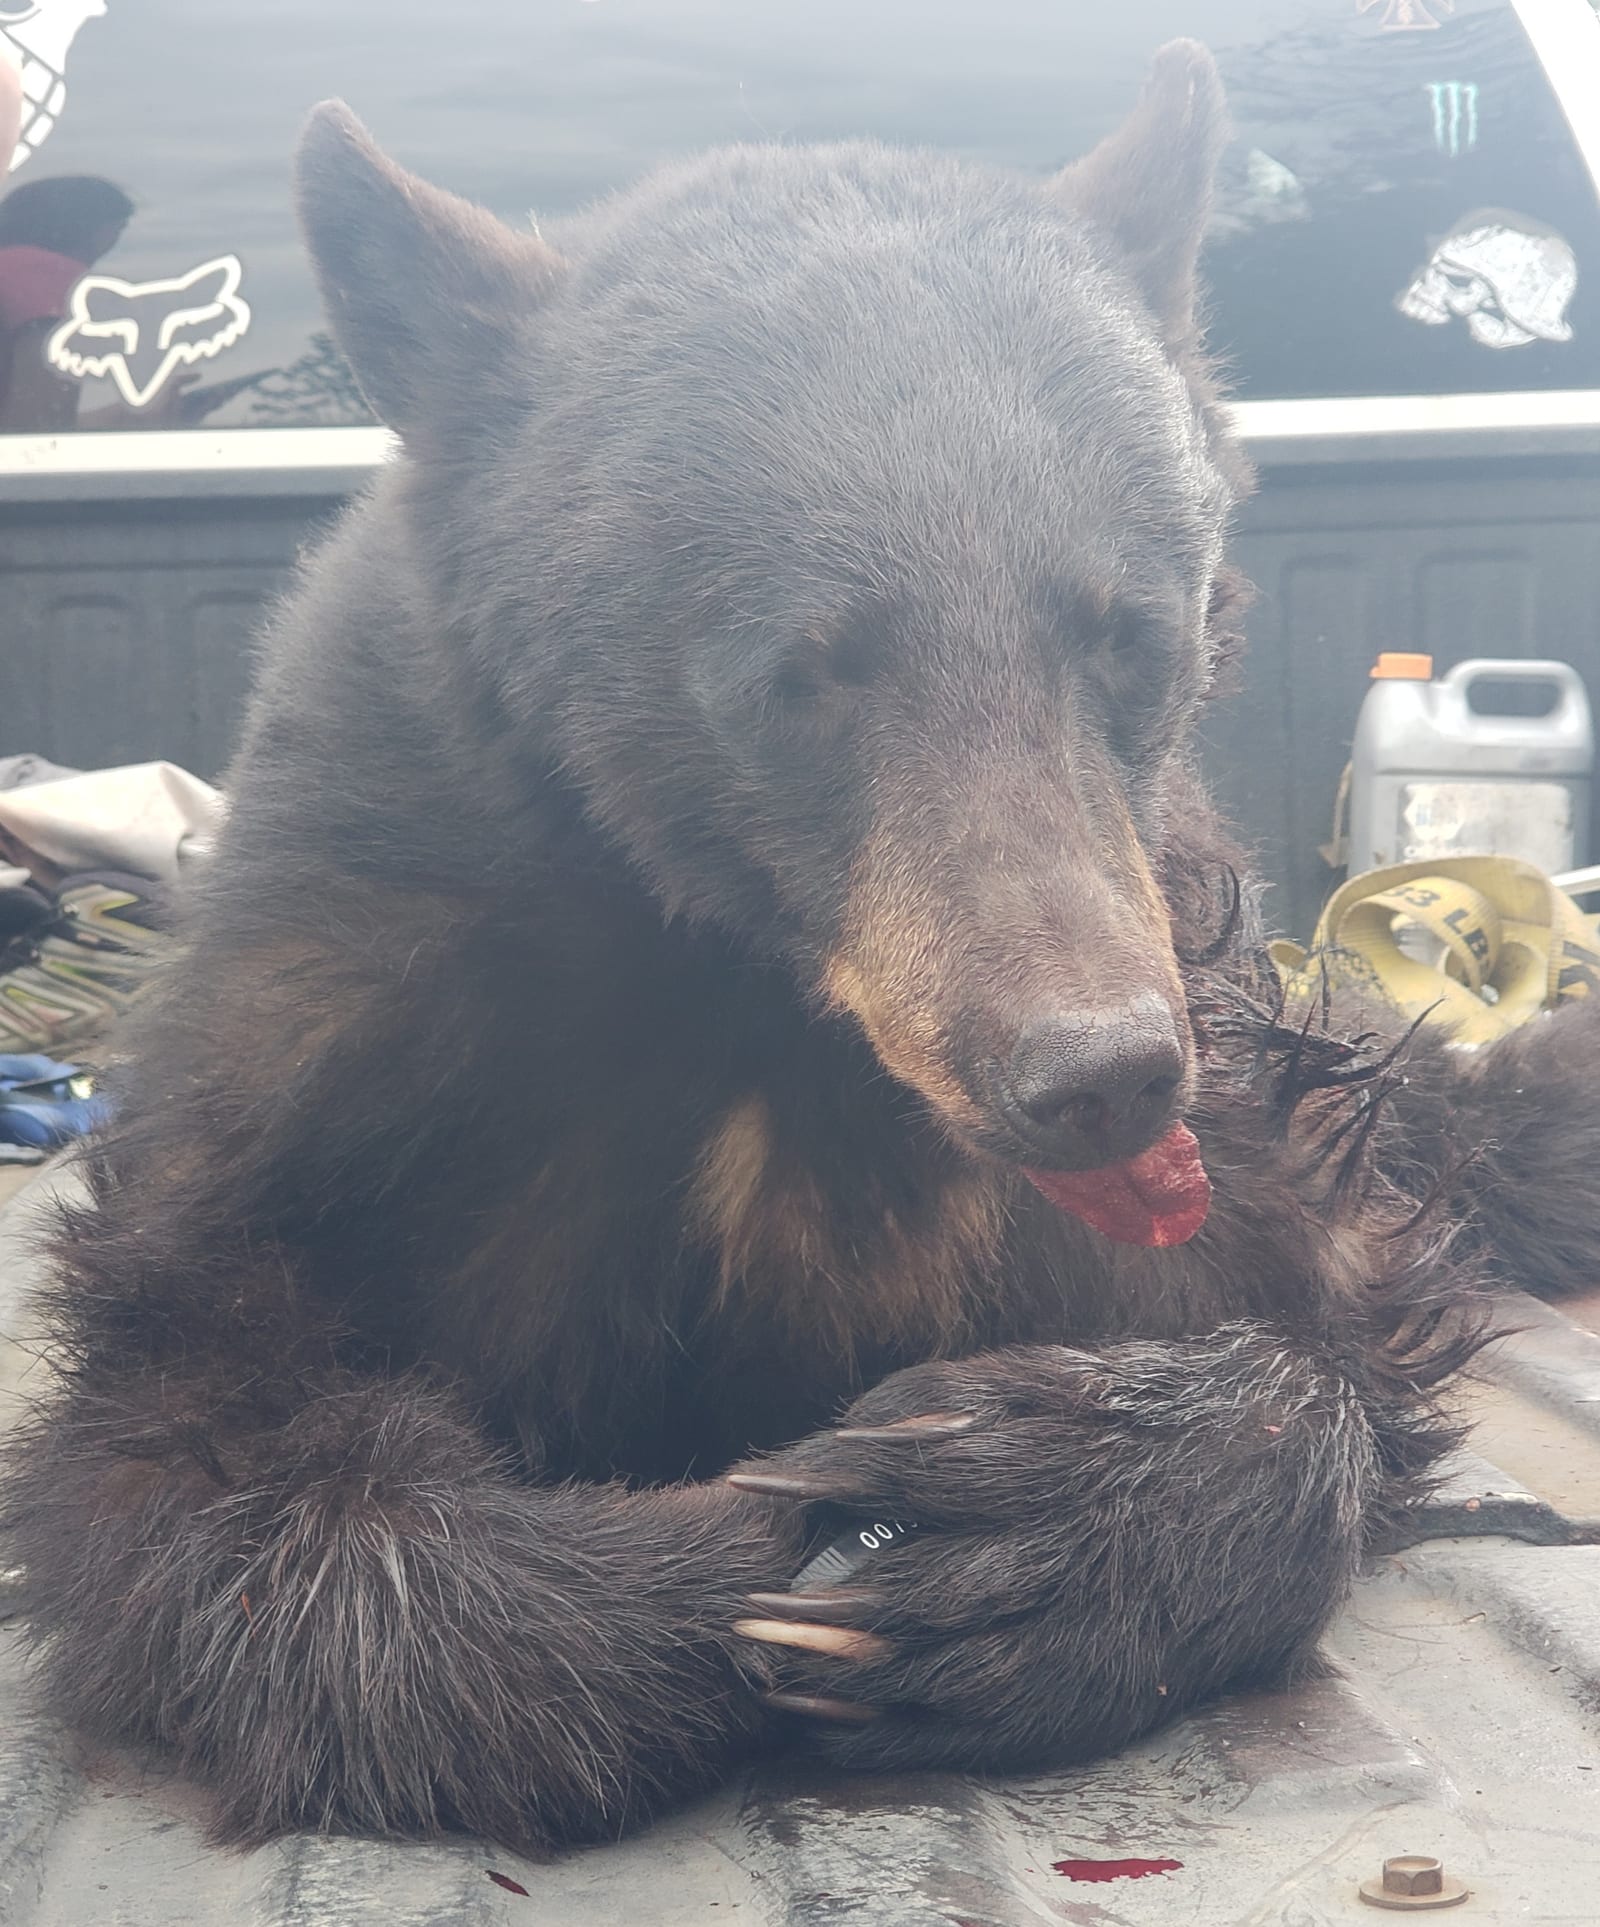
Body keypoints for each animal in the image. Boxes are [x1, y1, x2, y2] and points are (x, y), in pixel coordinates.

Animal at [3, 40, 1594, 1858]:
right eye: (798, 672)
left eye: (1127, 628)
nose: (1100, 1076)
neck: (761, 1000)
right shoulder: (342, 1036)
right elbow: (188, 1450)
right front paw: (727, 1569)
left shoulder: (1210, 1035)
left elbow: (1347, 1316)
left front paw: (1030, 1526)